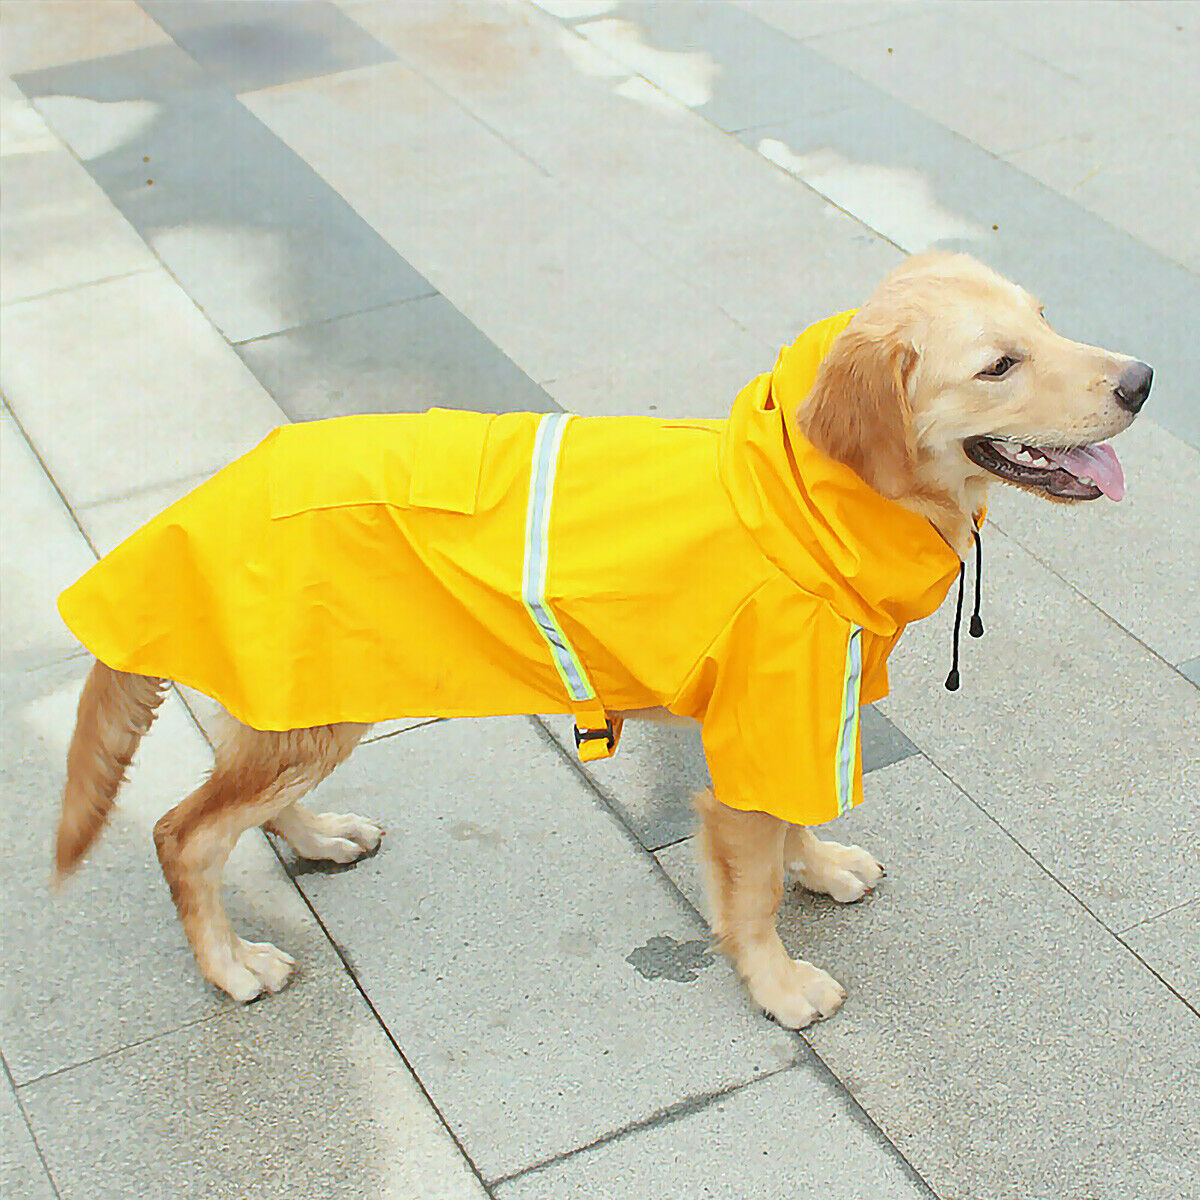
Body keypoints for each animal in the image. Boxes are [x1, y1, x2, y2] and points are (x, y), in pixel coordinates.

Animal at [51, 253, 1147, 1022]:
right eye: (998, 365)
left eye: (1046, 320)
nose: (1141, 378)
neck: (799, 503)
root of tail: (198, 500)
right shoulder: (761, 721)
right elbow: (750, 888)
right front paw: (779, 984)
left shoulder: (797, 717)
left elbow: (795, 823)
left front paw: (822, 867)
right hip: (306, 710)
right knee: (184, 834)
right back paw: (231, 966)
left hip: (314, 695)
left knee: (244, 804)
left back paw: (319, 838)